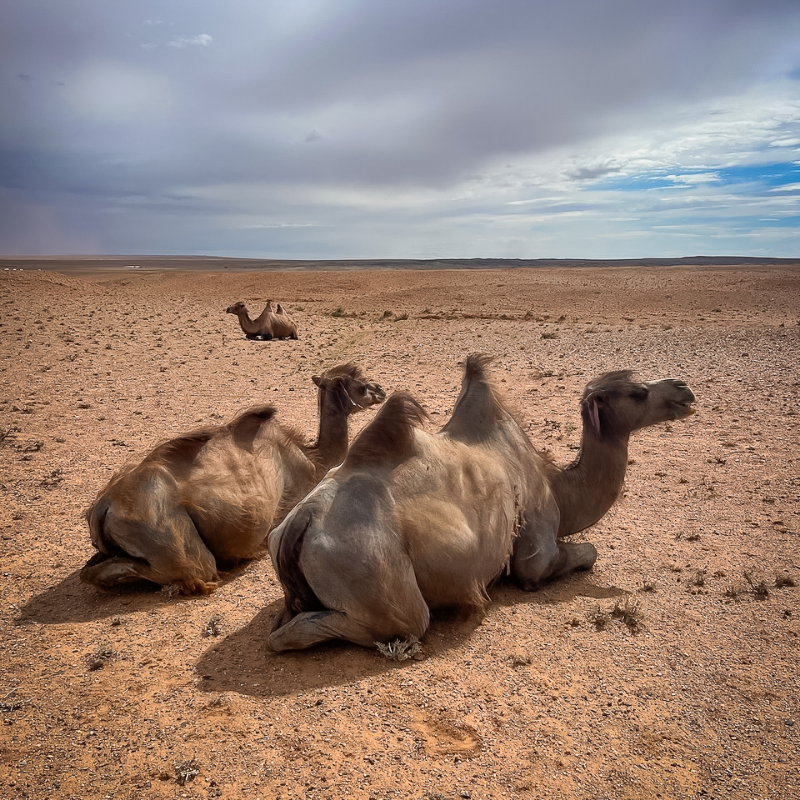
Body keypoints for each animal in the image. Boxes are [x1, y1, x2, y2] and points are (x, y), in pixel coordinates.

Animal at [81, 364, 386, 594]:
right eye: (355, 382)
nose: (380, 389)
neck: (314, 458)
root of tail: (104, 506)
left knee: (94, 569)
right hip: (170, 537)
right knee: (196, 570)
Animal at [268, 355, 695, 651]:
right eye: (638, 392)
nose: (684, 389)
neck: (555, 484)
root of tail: (300, 522)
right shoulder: (535, 549)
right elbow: (582, 554)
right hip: (377, 580)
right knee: (393, 623)